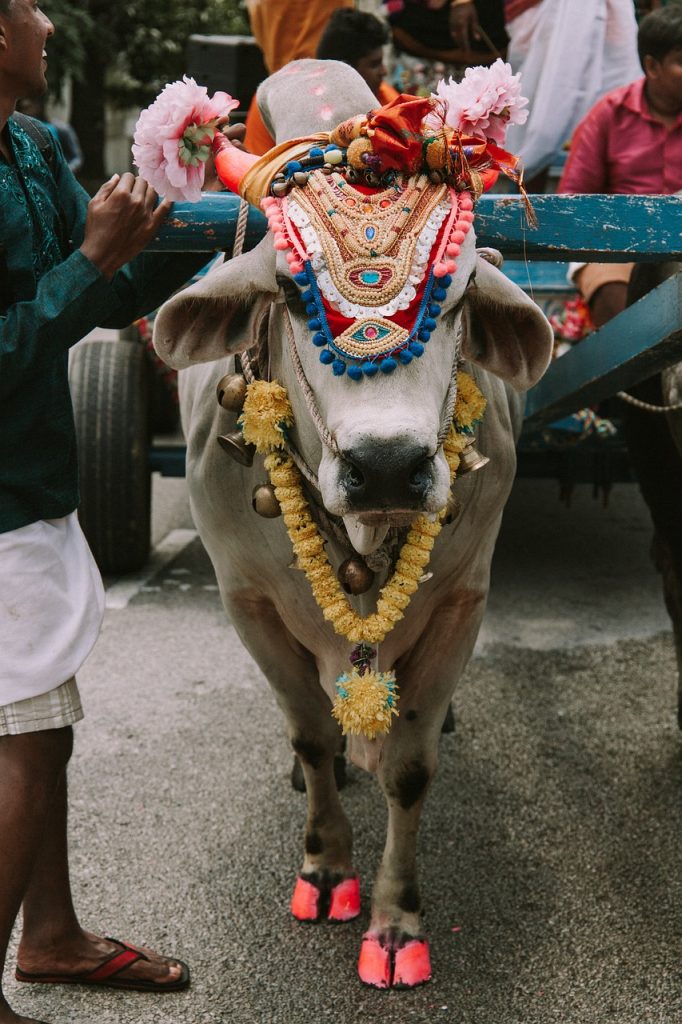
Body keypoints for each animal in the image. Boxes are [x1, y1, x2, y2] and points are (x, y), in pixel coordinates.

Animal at [152, 61, 552, 983]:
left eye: (454, 298)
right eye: (289, 295)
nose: (388, 466)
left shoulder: (462, 602)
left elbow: (409, 769)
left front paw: (395, 923)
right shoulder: (247, 601)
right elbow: (305, 732)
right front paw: (328, 869)